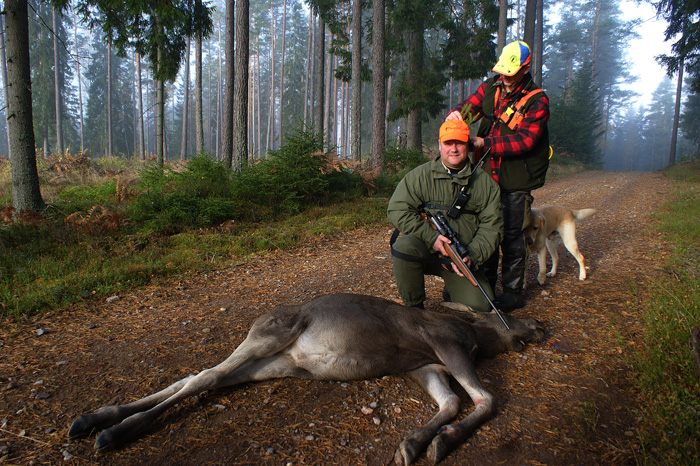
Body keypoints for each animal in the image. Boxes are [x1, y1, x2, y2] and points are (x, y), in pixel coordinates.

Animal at [68, 294, 544, 464]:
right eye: (506, 313)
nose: (540, 324)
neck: (480, 340)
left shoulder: (422, 366)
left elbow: (449, 402)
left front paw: (414, 442)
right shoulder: (445, 344)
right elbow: (484, 399)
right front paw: (442, 441)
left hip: (274, 363)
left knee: (199, 376)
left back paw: (95, 419)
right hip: (273, 335)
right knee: (205, 377)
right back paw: (113, 430)